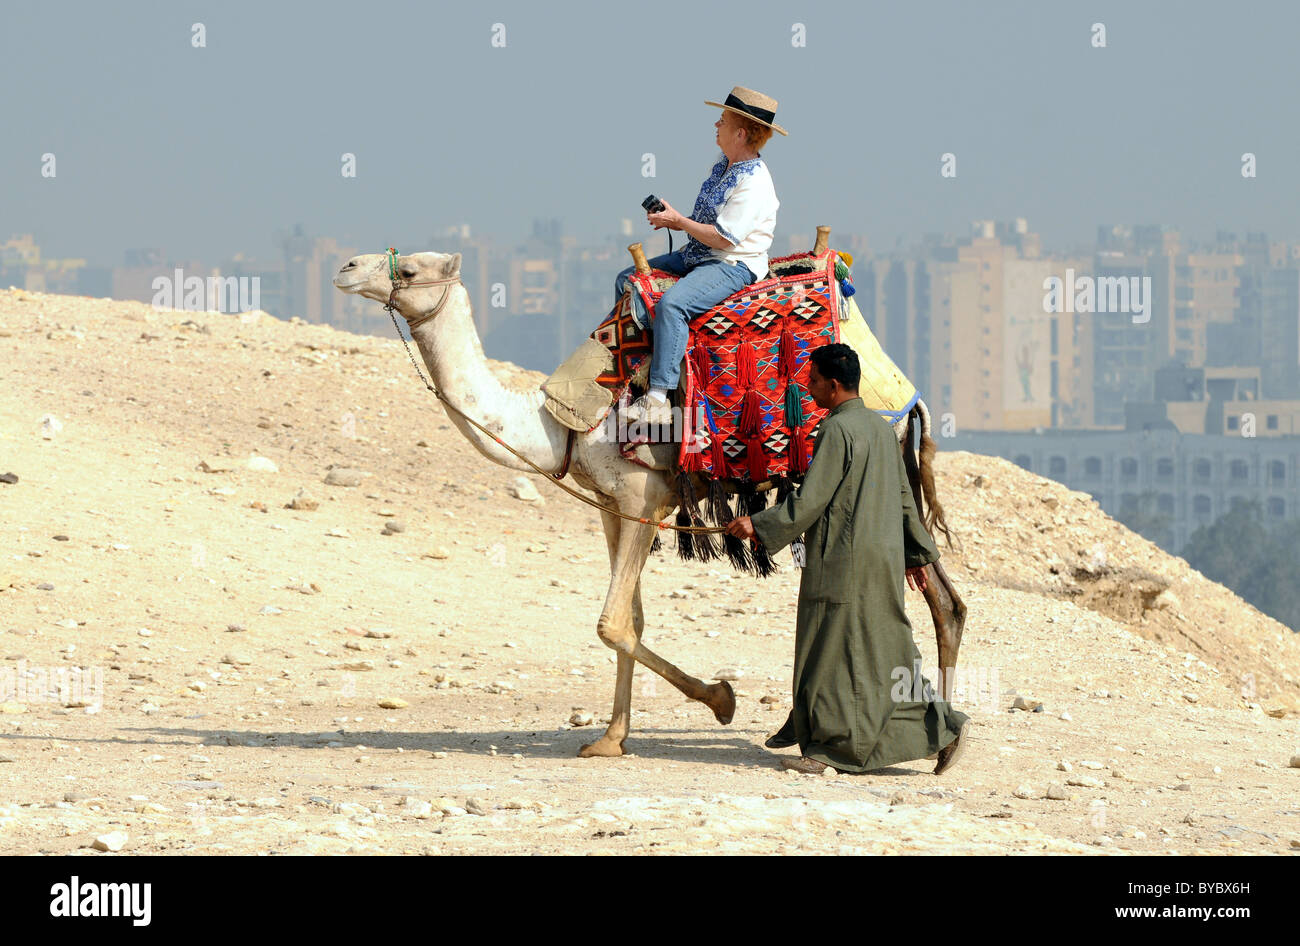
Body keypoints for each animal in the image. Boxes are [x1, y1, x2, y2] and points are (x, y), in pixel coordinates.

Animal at [335, 241, 967, 758]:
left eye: (409, 270)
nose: (346, 267)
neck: (561, 425)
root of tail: (908, 396)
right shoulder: (612, 507)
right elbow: (632, 621)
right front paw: (611, 738)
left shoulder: (643, 498)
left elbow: (612, 623)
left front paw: (721, 699)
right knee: (944, 597)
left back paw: (931, 736)